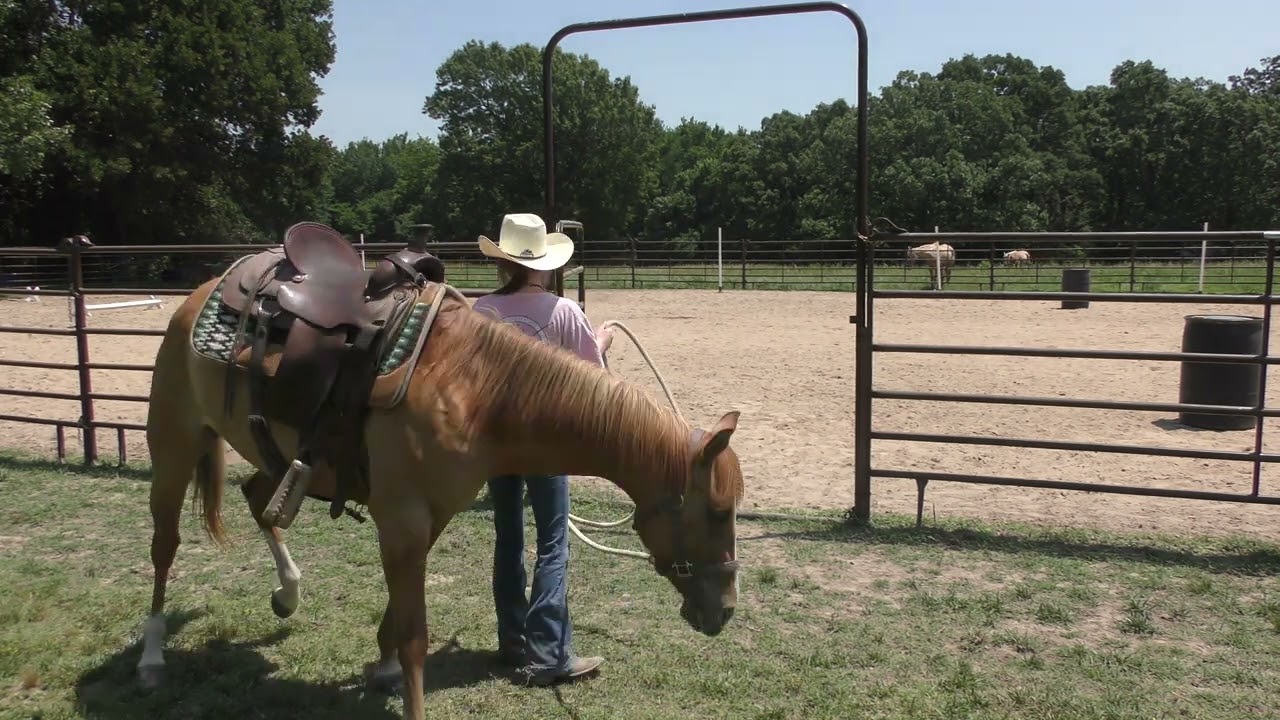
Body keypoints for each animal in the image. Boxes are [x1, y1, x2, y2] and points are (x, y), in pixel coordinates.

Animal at [136, 235, 745, 720]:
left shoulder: (432, 516)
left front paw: (380, 669)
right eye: (718, 511)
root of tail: (208, 290)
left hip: (279, 459)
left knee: (259, 499)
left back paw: (287, 593)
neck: (480, 391)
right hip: (174, 443)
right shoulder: (402, 520)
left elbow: (398, 621)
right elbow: (414, 637)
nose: (725, 611)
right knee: (165, 543)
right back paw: (151, 655)